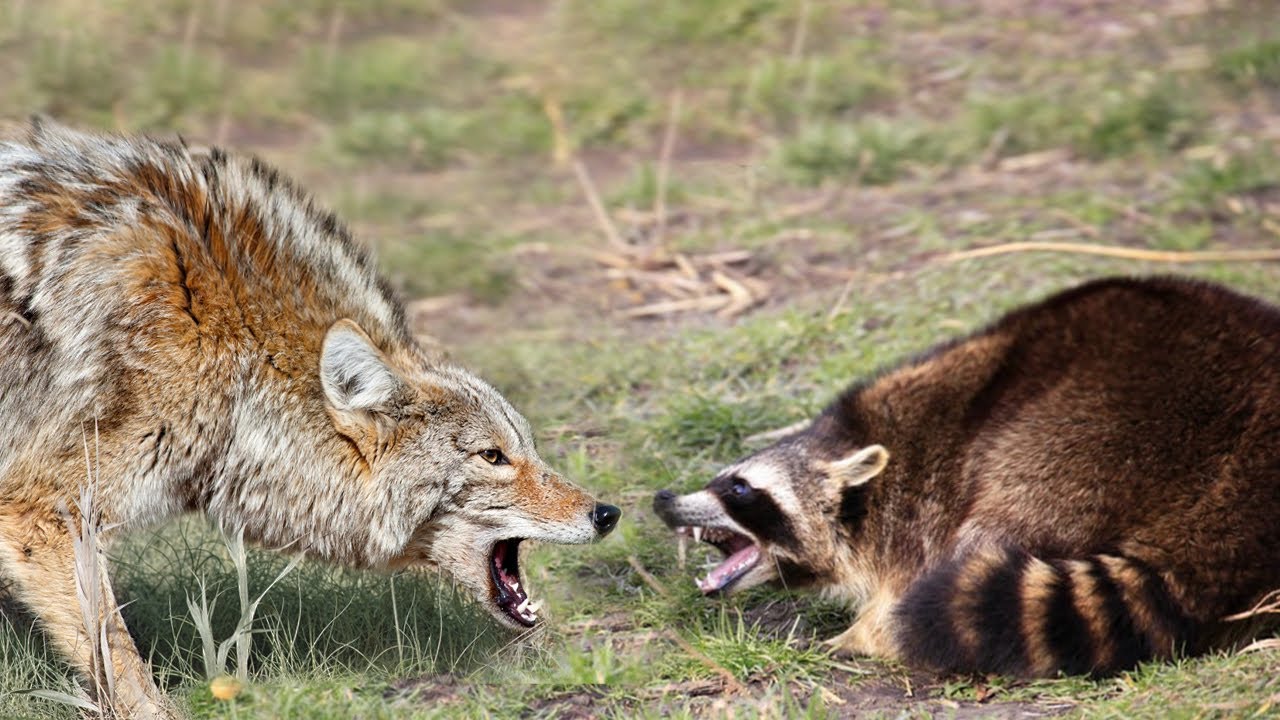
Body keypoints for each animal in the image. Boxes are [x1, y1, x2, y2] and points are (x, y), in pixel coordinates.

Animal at [655, 274, 1280, 671]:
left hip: (1089, 432)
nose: (662, 499)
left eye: (740, 488)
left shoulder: (920, 504)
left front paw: (869, 626)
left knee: (996, 527)